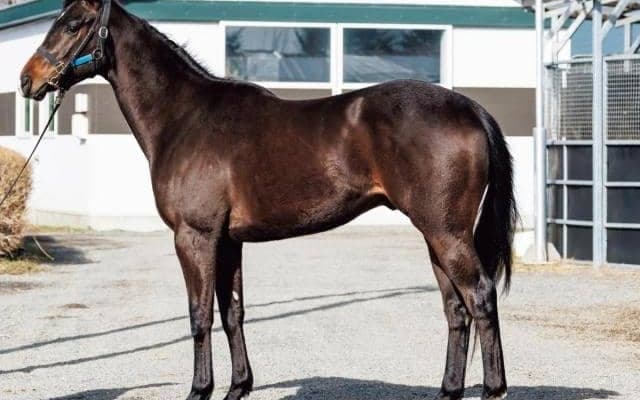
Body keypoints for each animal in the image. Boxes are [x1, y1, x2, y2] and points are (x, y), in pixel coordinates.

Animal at [19, 1, 517, 399]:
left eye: (73, 24)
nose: (27, 80)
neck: (185, 118)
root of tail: (470, 108)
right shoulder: (228, 241)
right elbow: (232, 312)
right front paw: (238, 386)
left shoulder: (195, 237)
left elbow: (199, 315)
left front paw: (200, 389)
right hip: (436, 236)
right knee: (456, 309)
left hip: (447, 234)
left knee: (480, 297)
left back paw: (493, 389)